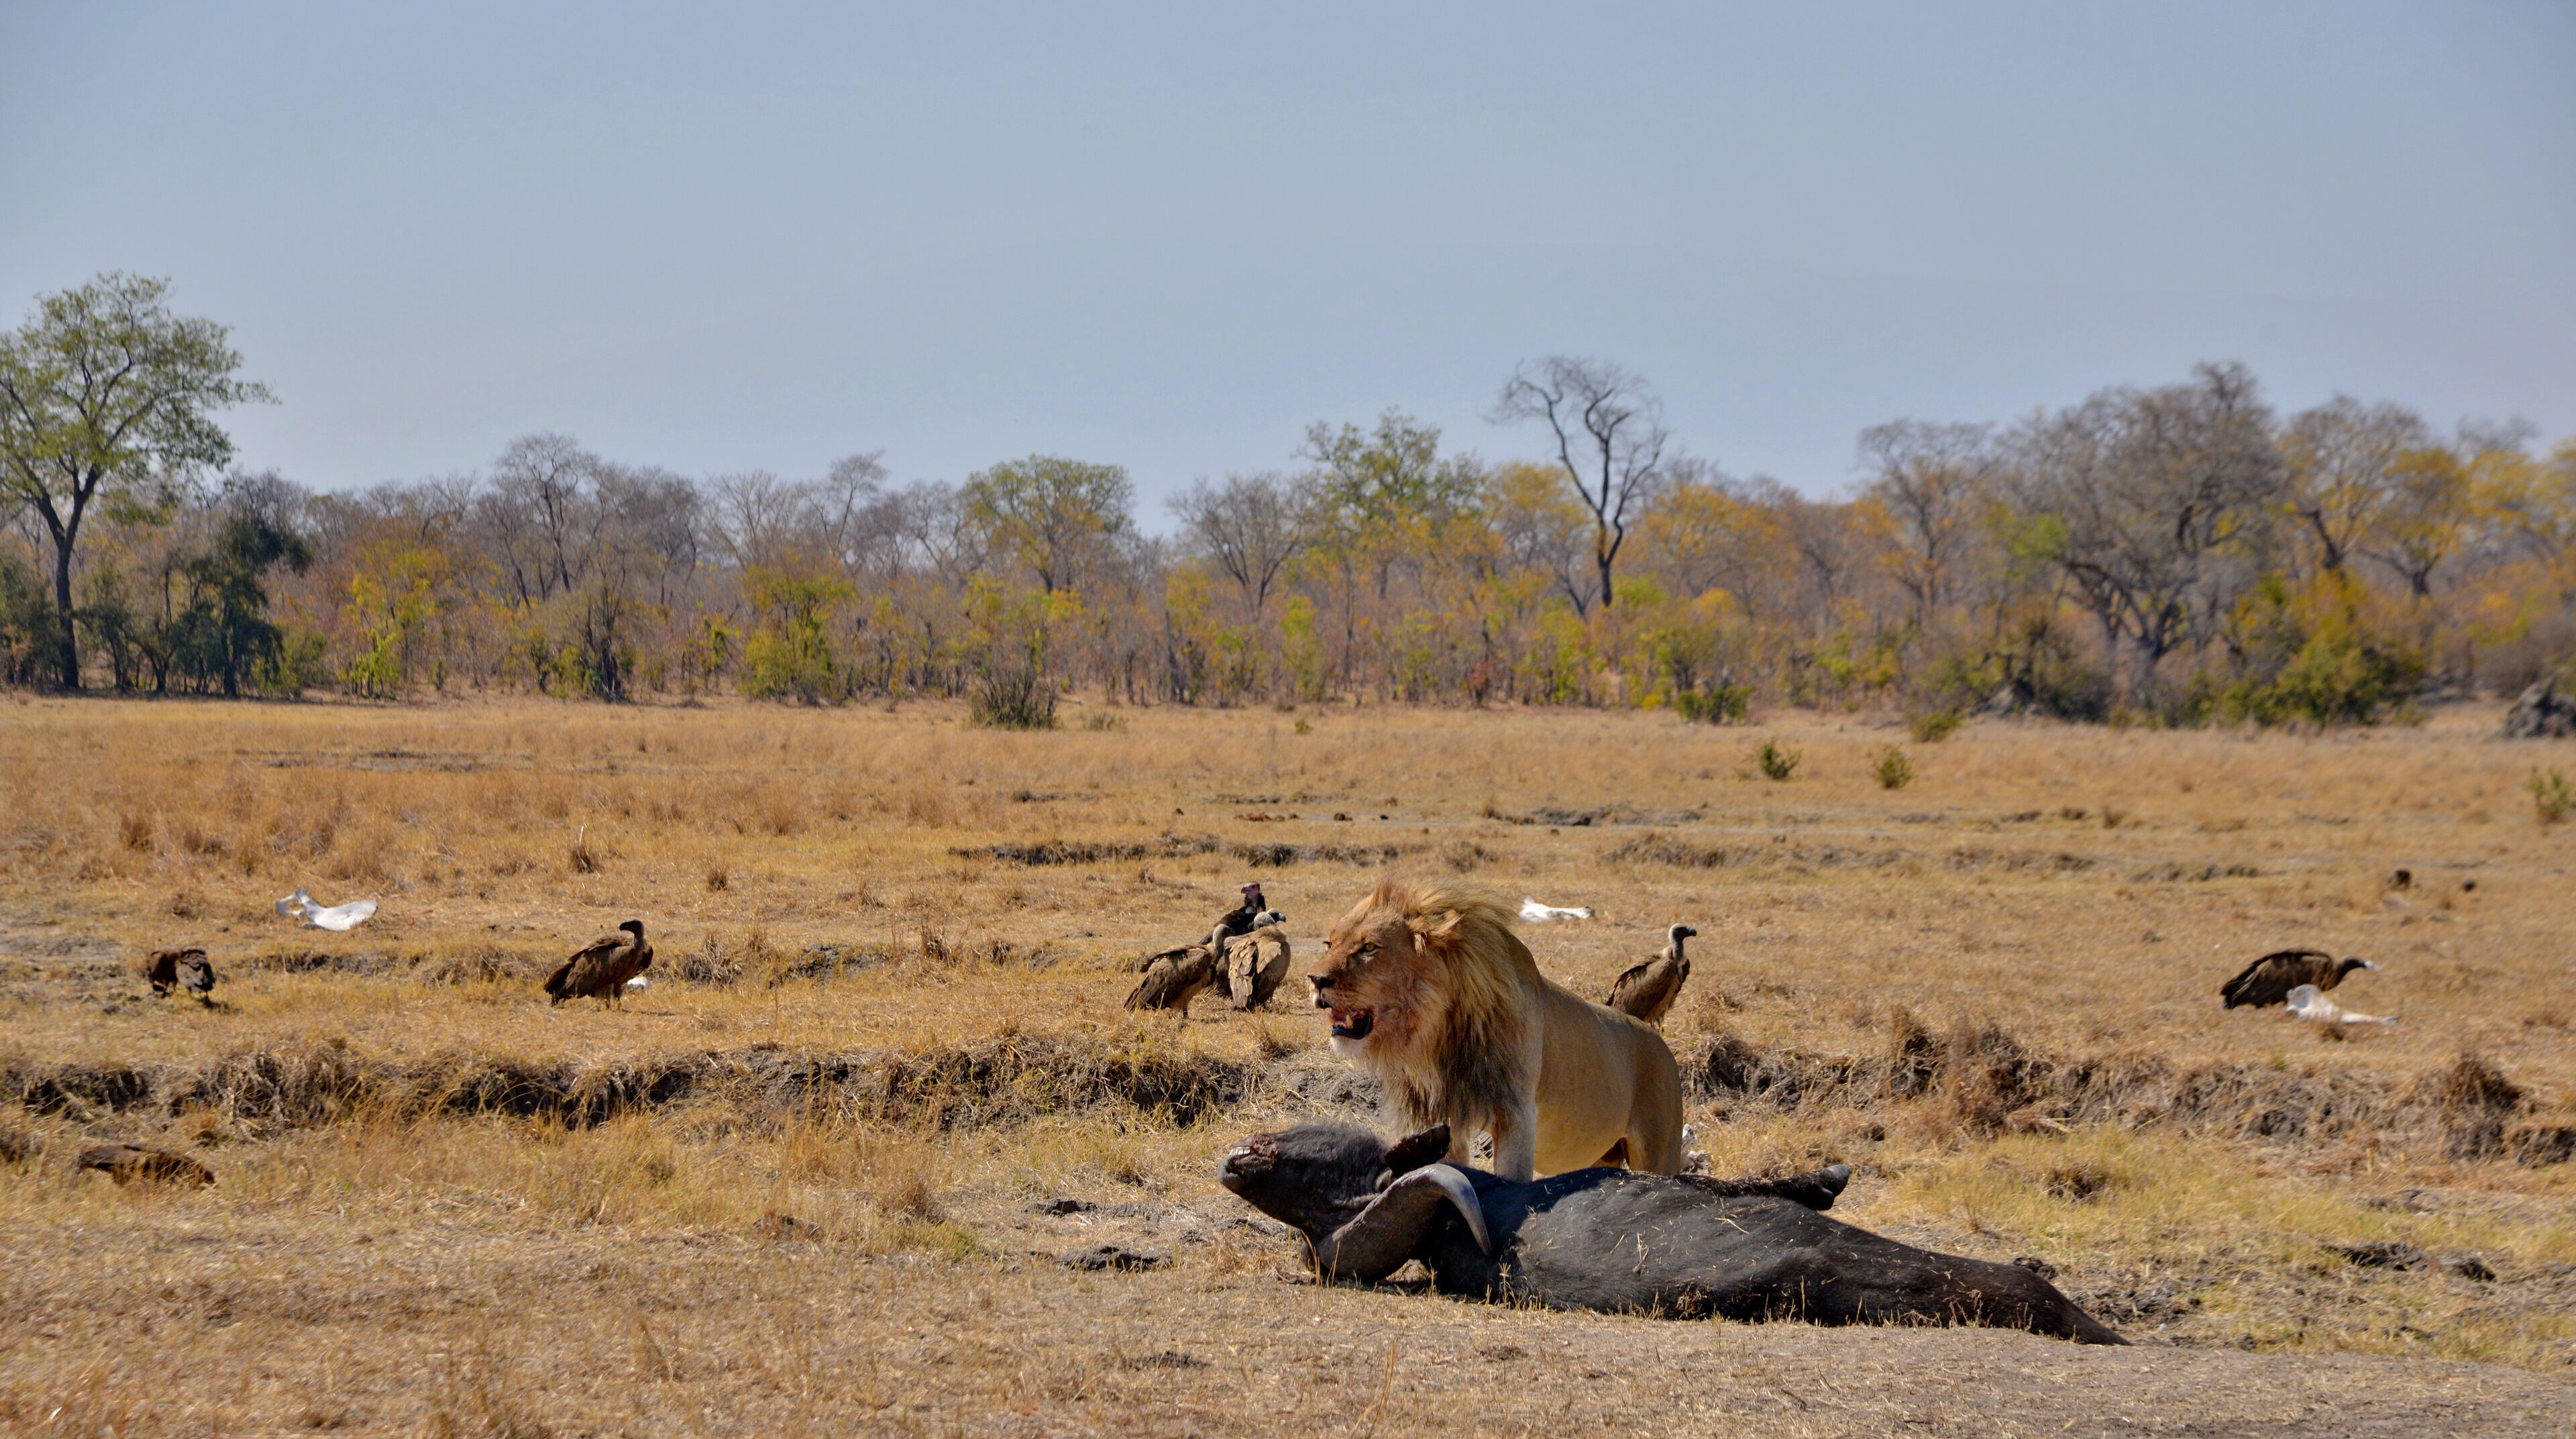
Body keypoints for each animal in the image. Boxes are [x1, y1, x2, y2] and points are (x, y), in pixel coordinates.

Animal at [1306, 880, 1683, 1182]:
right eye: (1329, 944)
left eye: (1369, 948)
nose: (1315, 979)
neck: (1434, 1038)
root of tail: (1662, 1045)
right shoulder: (1442, 1119)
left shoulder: (1516, 1115)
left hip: (1659, 1151)